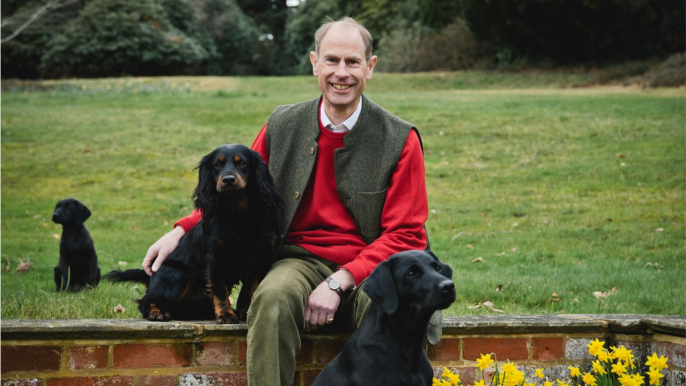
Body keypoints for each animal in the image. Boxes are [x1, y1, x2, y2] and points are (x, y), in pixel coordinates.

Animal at [105, 144, 282, 322]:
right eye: (217, 165)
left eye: (242, 163)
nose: (228, 180)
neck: (238, 213)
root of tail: (150, 275)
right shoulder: (215, 258)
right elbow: (220, 290)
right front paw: (225, 314)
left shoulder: (261, 256)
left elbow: (254, 289)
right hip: (176, 274)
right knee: (145, 301)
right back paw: (157, 312)